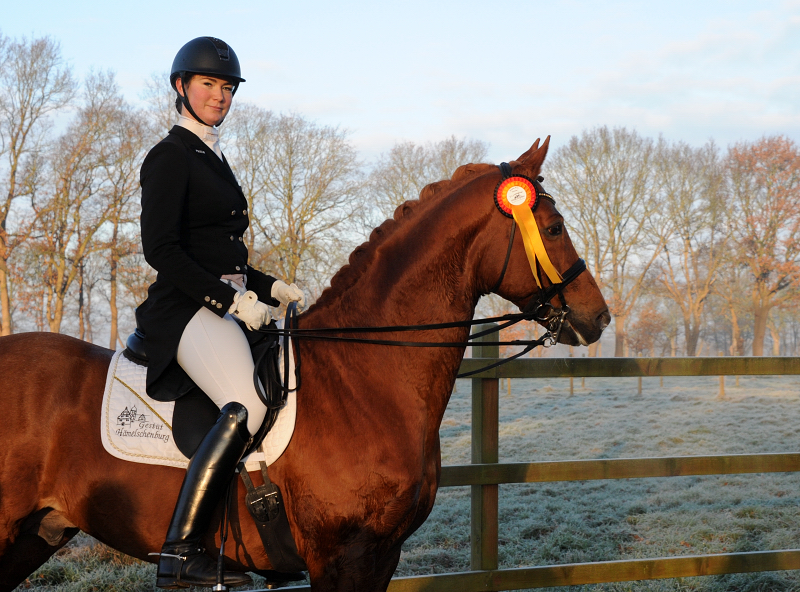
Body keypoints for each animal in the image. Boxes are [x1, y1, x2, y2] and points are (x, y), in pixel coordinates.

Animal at [0, 136, 608, 588]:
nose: (597, 317)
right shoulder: (342, 556)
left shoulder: (381, 555)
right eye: (553, 228)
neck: (361, 380)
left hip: (36, 533)